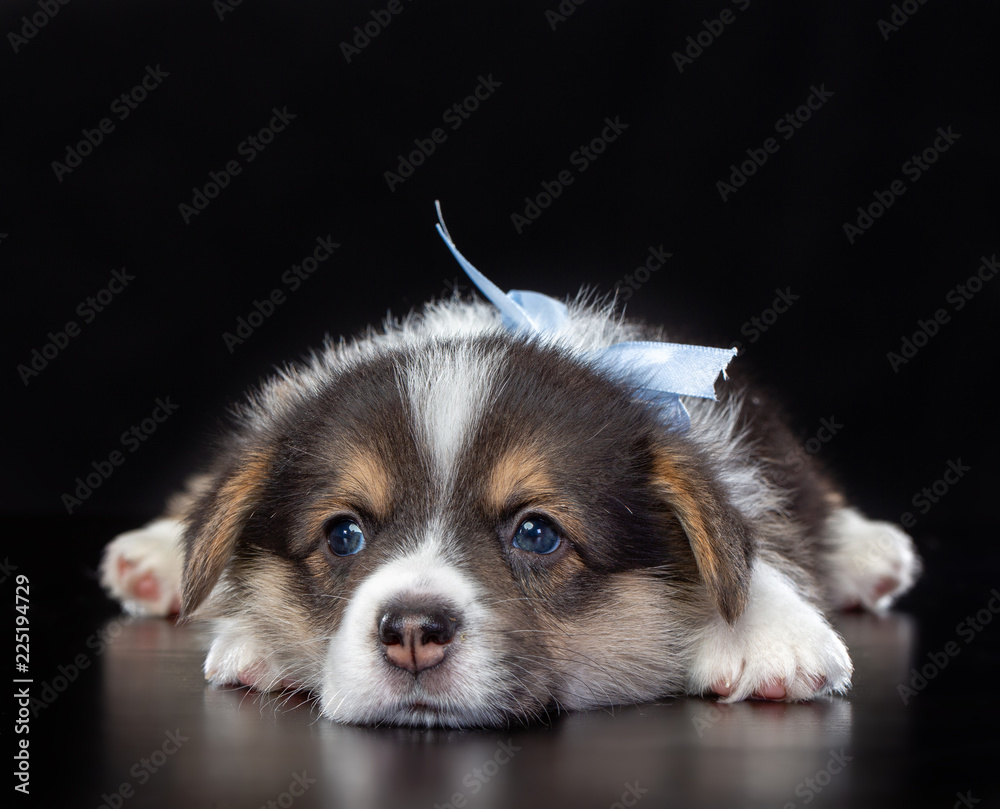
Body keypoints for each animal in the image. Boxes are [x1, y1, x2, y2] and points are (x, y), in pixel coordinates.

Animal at [97, 207, 916, 724]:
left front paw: (769, 633)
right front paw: (254, 635)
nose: (412, 630)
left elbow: (748, 548)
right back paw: (156, 559)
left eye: (537, 534)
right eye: (343, 535)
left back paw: (871, 552)